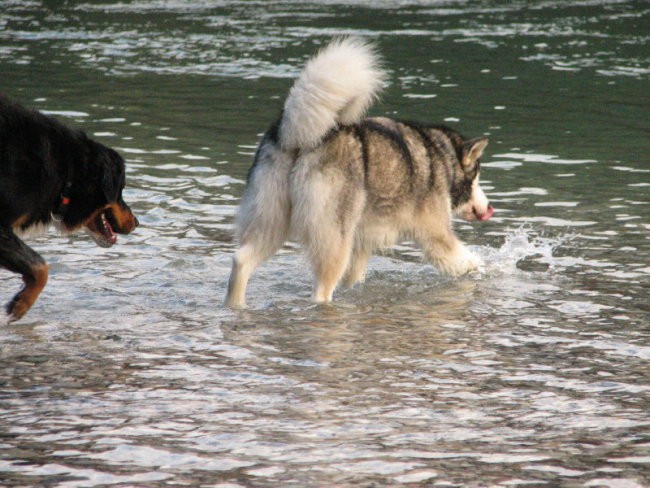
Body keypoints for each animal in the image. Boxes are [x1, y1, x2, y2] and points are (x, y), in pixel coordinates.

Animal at [225, 38, 494, 306]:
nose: (490, 207)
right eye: (477, 178)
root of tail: (294, 134)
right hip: (332, 241)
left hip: (270, 223)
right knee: (320, 291)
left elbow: (353, 278)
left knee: (241, 260)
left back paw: (235, 305)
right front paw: (487, 269)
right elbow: (469, 261)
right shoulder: (437, 238)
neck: (441, 156)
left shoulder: (362, 246)